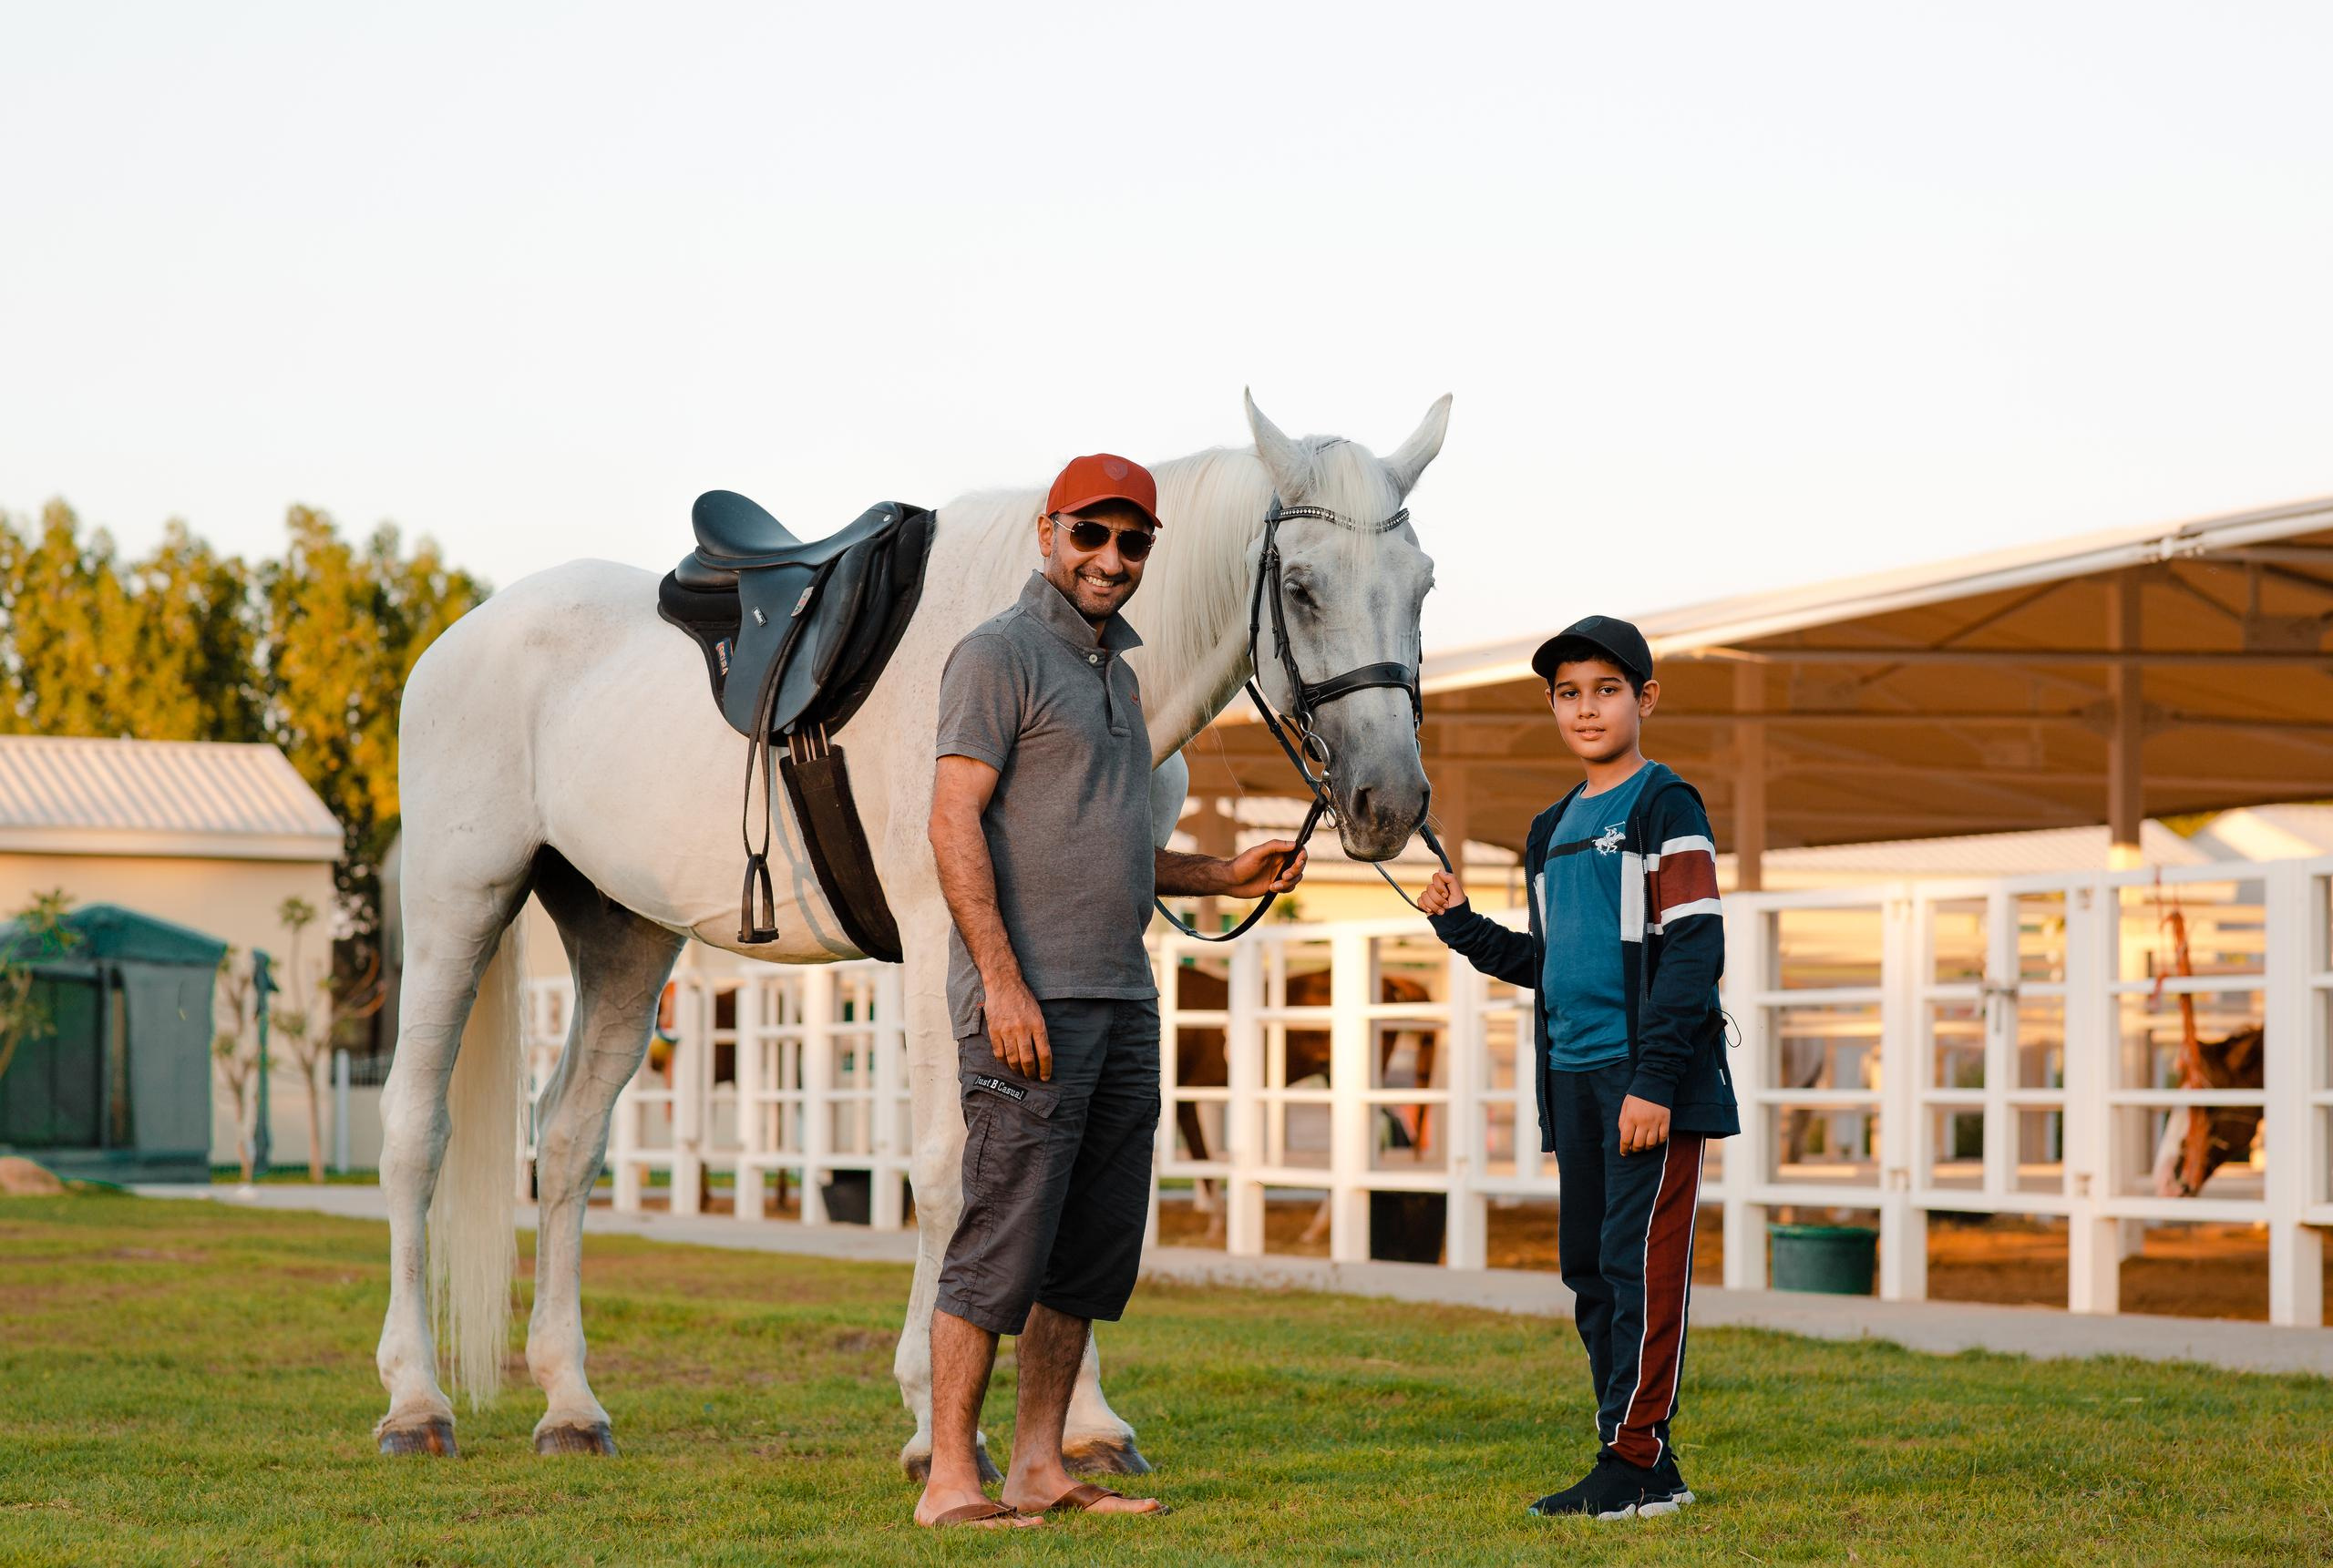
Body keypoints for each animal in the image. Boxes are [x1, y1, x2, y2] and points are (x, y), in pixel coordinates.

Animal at [372, 391, 1451, 1476]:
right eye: (1302, 588)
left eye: (1424, 584)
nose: (1389, 800)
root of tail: (459, 639)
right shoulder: (946, 937)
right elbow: (946, 1169)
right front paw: (939, 1424)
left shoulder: (1106, 946)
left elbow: (1092, 1166)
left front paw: (1088, 1423)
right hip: (460, 905)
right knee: (415, 1131)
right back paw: (416, 1400)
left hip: (624, 936)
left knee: (567, 1140)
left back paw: (569, 1402)